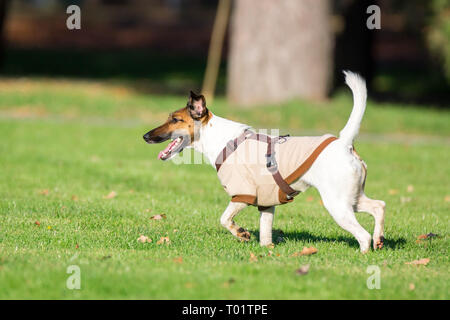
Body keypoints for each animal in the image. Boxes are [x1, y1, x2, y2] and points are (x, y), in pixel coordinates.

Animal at [145, 72, 386, 252]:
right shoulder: (267, 203)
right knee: (379, 206)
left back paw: (365, 253)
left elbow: (224, 219)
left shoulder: (242, 194)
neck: (220, 139)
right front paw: (267, 249)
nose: (145, 136)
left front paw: (241, 233)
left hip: (337, 204)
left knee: (363, 235)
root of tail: (344, 143)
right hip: (352, 199)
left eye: (175, 120)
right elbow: (266, 234)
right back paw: (379, 239)